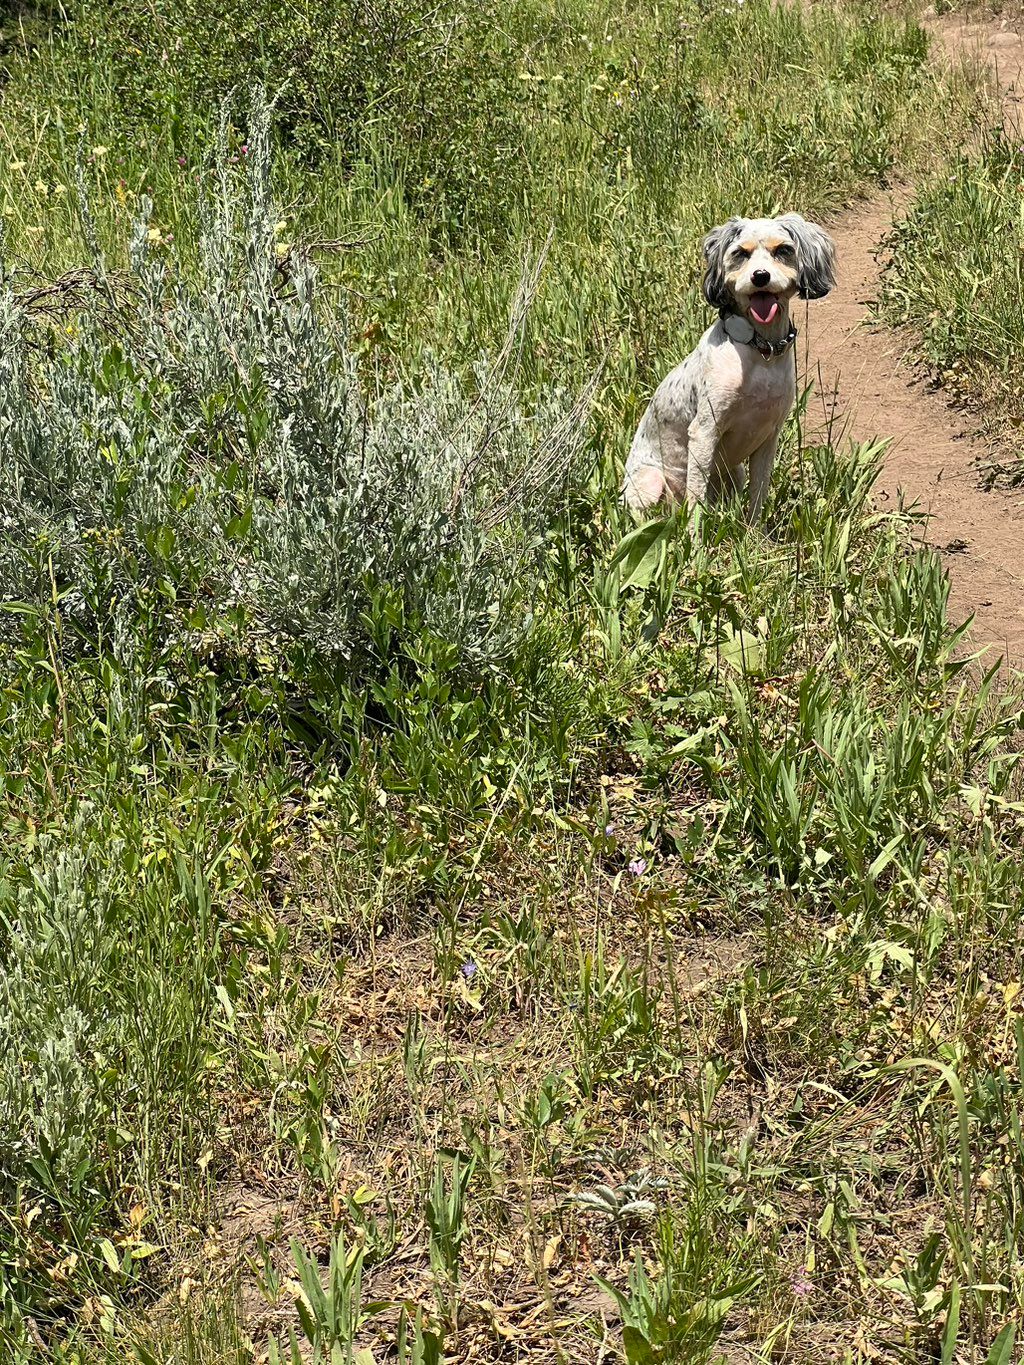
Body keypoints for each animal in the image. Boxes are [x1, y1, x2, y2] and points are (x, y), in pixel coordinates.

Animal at [622, 215, 835, 518]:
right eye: (740, 253)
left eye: (783, 250)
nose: (760, 276)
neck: (760, 350)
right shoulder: (704, 432)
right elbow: (696, 505)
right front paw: (695, 532)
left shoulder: (769, 437)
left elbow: (758, 495)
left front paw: (754, 530)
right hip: (650, 482)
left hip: (735, 473)